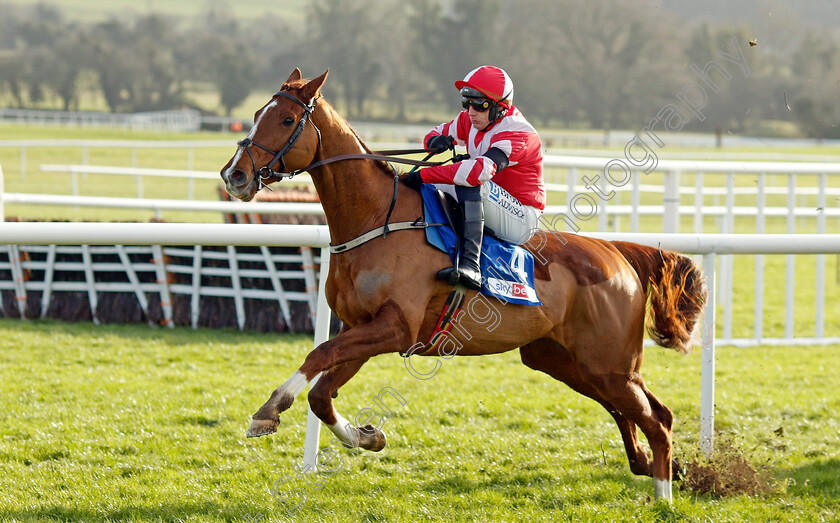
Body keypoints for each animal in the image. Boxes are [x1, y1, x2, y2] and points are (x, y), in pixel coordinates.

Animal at [220, 67, 704, 502]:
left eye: (287, 120)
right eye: (257, 114)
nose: (234, 175)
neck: (376, 218)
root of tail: (618, 253)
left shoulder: (396, 327)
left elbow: (318, 355)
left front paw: (269, 410)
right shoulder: (361, 328)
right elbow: (322, 393)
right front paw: (367, 436)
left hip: (608, 362)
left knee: (657, 419)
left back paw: (663, 495)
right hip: (567, 361)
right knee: (634, 411)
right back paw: (658, 468)